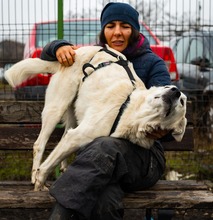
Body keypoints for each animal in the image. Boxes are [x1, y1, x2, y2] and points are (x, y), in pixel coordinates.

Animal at [4, 45, 186, 191]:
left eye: (182, 101)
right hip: (56, 107)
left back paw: (63, 169)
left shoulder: (78, 137)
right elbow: (46, 167)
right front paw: (39, 183)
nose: (176, 91)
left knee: (62, 138)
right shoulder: (77, 136)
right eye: (169, 86)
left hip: (73, 115)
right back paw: (34, 174)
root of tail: (80, 50)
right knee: (39, 144)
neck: (134, 115)